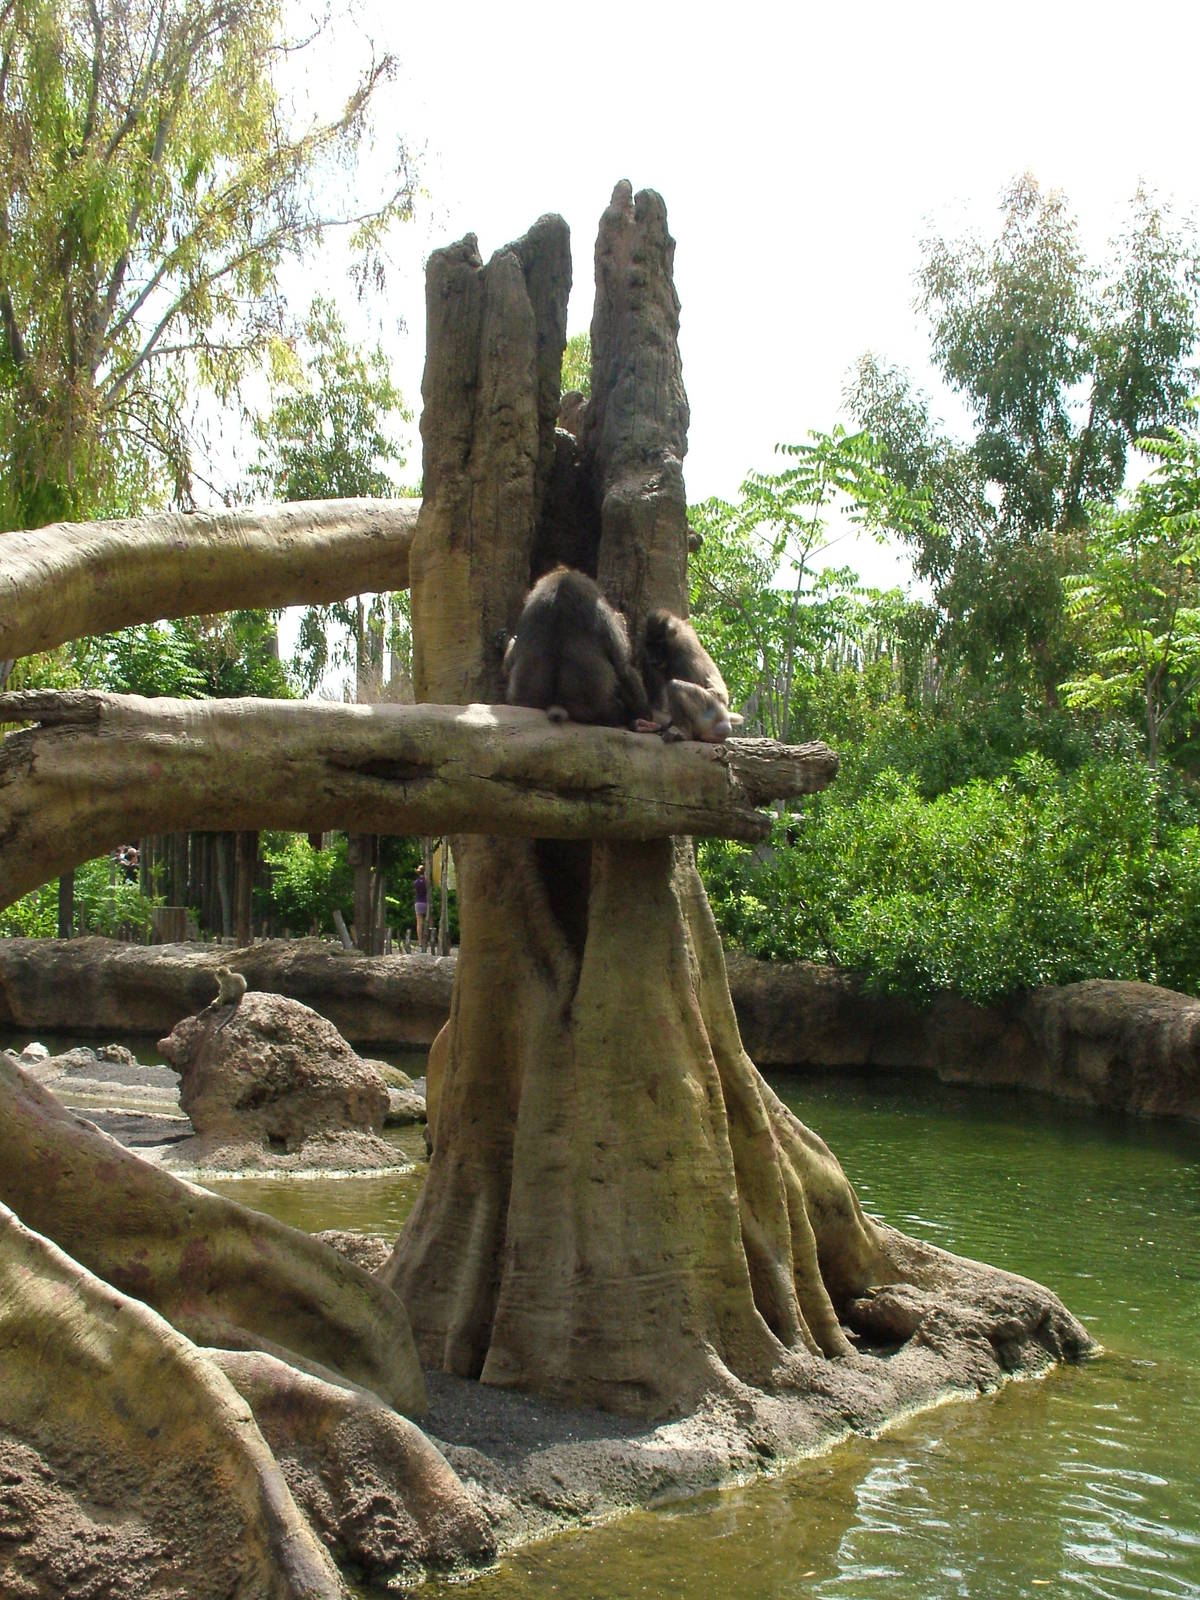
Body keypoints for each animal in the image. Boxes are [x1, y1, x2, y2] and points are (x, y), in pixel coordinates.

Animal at [640, 609, 744, 743]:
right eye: (649, 645)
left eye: (658, 645)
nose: (652, 658)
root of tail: (725, 716)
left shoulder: (681, 660)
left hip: (711, 712)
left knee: (675, 686)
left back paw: (686, 733)